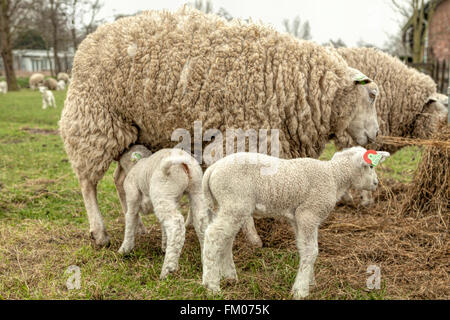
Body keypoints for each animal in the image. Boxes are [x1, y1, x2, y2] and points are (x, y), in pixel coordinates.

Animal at [59, 7, 380, 248]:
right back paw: (100, 232)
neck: (296, 83)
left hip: (131, 132)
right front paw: (252, 238)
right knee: (87, 182)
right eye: (373, 95)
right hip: (94, 121)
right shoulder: (243, 138)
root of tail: (88, 42)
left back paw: (135, 224)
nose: (376, 135)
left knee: (120, 178)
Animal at [115, 146, 208, 278]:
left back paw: (168, 269)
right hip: (195, 190)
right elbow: (163, 225)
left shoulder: (132, 197)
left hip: (162, 191)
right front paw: (164, 245)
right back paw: (205, 259)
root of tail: (184, 164)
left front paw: (124, 249)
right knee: (201, 222)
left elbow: (130, 221)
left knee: (175, 225)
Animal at [202, 146, 388, 298]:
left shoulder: (298, 219)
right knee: (213, 235)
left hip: (226, 206)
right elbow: (311, 251)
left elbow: (303, 248)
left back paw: (229, 276)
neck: (334, 176)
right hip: (235, 202)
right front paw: (301, 290)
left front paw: (309, 281)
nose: (376, 183)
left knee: (225, 238)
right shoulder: (309, 213)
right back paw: (211, 286)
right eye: (371, 166)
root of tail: (212, 169)